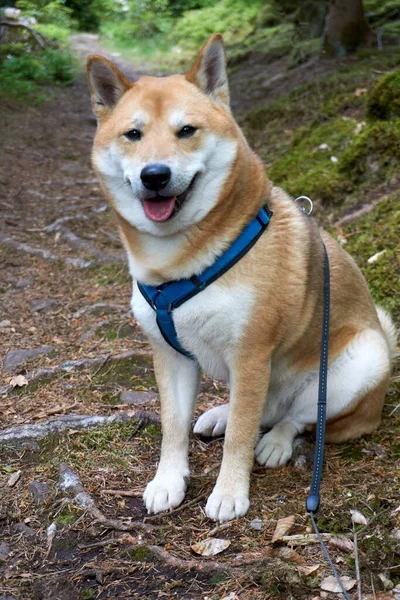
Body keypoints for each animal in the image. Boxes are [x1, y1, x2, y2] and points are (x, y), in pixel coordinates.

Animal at [87, 35, 396, 520]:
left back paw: (275, 442)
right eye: (133, 134)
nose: (154, 175)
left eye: (187, 131)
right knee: (260, 412)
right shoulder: (170, 356)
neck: (182, 262)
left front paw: (230, 492)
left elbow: (239, 440)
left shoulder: (250, 354)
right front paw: (168, 481)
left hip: (363, 359)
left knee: (297, 418)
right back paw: (221, 413)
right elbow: (172, 428)